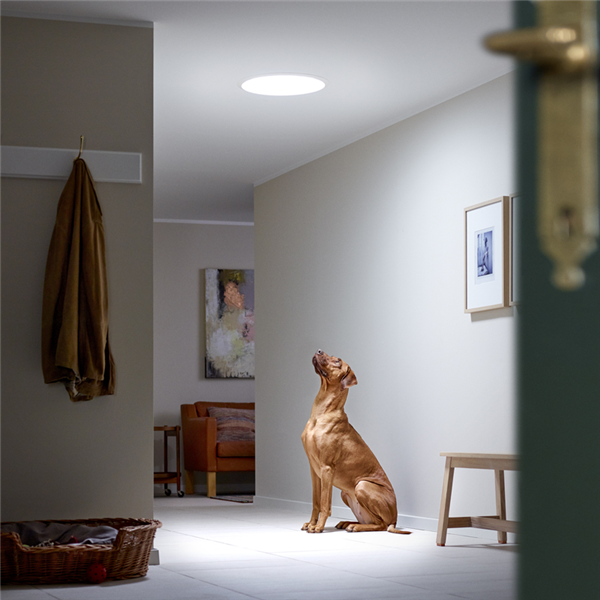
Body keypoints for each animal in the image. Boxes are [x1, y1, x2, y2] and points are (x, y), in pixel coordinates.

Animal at [301, 349, 410, 534]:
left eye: (338, 361)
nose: (319, 350)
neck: (321, 413)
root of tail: (395, 519)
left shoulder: (327, 468)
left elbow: (324, 503)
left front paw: (319, 527)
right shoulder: (314, 469)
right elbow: (316, 502)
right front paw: (311, 523)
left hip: (362, 485)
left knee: (381, 525)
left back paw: (355, 527)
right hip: (345, 493)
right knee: (372, 521)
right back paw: (348, 523)